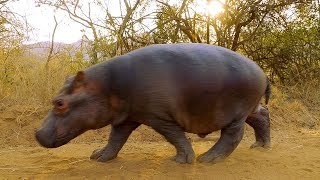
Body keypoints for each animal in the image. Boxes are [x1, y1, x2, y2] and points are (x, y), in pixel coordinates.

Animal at [35, 43, 270, 163]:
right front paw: (98, 156)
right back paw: (260, 146)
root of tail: (262, 72)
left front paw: (182, 160)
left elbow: (175, 137)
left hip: (236, 113)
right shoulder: (125, 118)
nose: (37, 133)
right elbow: (115, 139)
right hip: (250, 108)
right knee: (263, 116)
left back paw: (207, 159)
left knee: (232, 136)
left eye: (59, 103)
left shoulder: (159, 117)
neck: (105, 85)